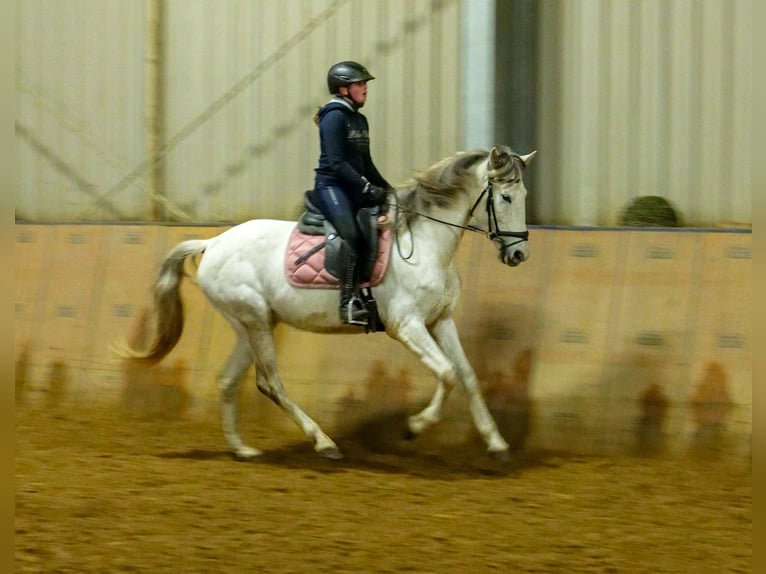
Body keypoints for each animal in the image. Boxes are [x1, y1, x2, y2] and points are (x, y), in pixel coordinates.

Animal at [121, 147, 540, 464]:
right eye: (505, 197)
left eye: (523, 197)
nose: (519, 254)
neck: (424, 242)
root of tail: (213, 243)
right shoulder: (407, 326)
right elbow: (448, 373)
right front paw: (414, 427)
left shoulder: (441, 321)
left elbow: (466, 375)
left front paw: (497, 444)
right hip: (254, 320)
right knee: (269, 381)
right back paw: (323, 443)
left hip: (252, 324)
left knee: (228, 381)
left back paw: (243, 450)